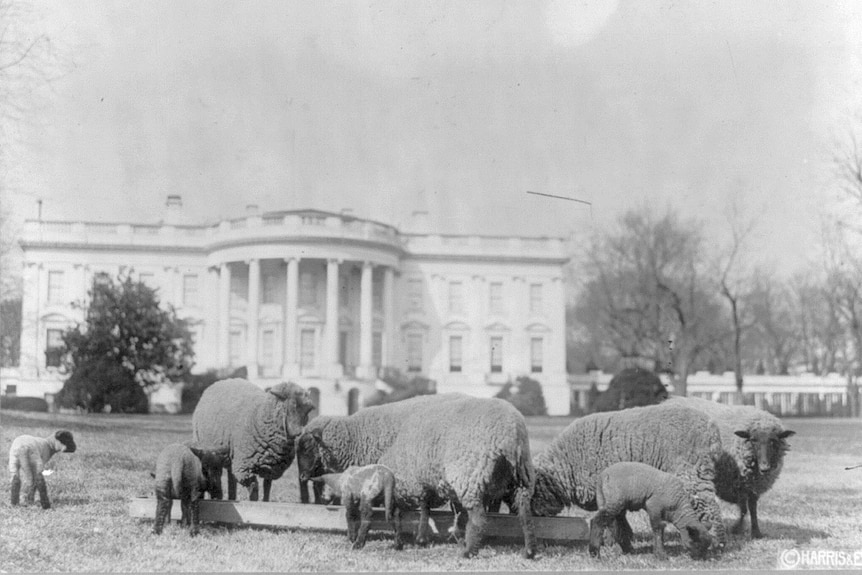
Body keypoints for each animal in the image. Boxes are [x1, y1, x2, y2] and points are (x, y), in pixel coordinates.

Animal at [532, 402, 728, 552]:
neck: (566, 466)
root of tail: (712, 429)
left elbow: (612, 520)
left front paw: (612, 542)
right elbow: (619, 518)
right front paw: (623, 540)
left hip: (691, 473)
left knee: (710, 506)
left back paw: (717, 542)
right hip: (698, 473)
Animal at [668, 396, 796, 540]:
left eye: (773, 441)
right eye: (753, 440)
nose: (765, 468)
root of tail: (669, 400)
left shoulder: (752, 486)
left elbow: (752, 509)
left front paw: (755, 532)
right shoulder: (739, 484)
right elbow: (744, 509)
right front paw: (737, 528)